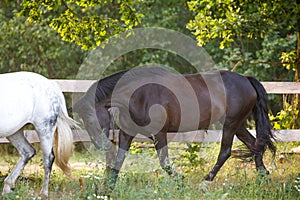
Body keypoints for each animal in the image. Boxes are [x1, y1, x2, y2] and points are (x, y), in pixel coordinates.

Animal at [72, 68, 274, 191]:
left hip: (230, 124)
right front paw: (108, 188)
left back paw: (206, 180)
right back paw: (263, 177)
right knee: (255, 145)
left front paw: (181, 182)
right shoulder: (127, 134)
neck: (138, 96)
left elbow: (165, 163)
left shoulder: (159, 134)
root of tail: (246, 80)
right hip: (237, 125)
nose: (100, 145)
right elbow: (118, 161)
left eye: (90, 117)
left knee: (226, 151)